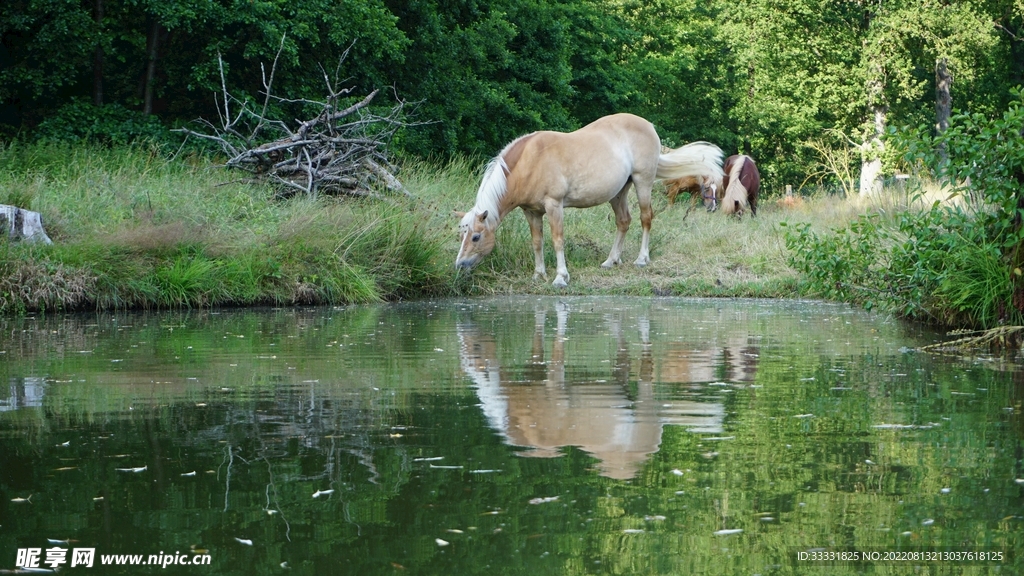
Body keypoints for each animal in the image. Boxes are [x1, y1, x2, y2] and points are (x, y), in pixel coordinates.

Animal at [454, 113, 723, 287]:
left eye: (476, 237)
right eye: (461, 235)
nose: (460, 264)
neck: (530, 161)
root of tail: (649, 126)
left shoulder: (554, 206)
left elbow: (557, 240)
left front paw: (560, 277)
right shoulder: (531, 211)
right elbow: (537, 243)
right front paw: (538, 274)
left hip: (642, 182)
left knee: (646, 218)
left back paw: (641, 259)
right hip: (619, 192)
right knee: (623, 222)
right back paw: (611, 260)